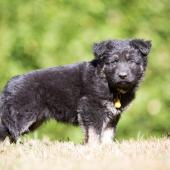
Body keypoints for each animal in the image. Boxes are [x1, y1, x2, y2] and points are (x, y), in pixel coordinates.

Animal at [0, 38, 151, 143]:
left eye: (131, 61)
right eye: (113, 62)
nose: (122, 75)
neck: (108, 84)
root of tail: (9, 85)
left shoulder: (113, 115)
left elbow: (108, 133)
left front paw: (107, 149)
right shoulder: (90, 108)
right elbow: (94, 132)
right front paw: (94, 148)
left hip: (32, 120)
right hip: (21, 116)